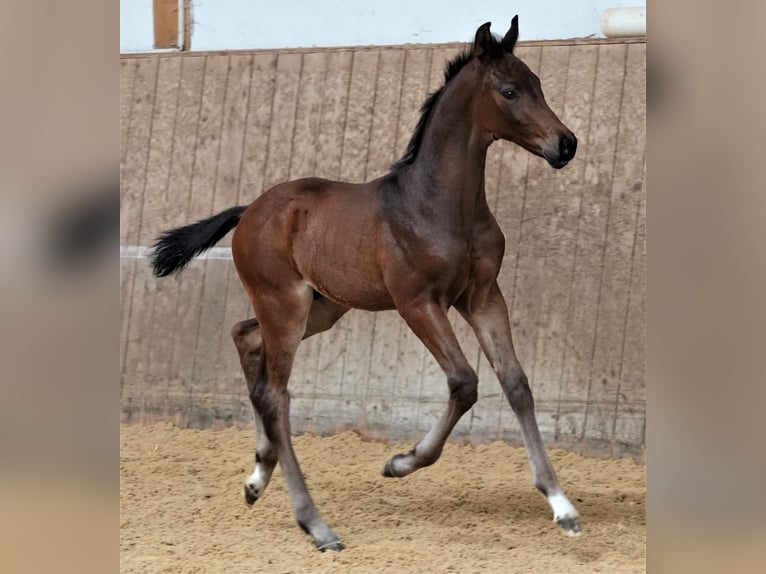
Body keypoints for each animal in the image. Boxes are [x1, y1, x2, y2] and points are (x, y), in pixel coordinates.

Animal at [150, 15, 584, 552]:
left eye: (537, 84)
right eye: (508, 90)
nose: (565, 144)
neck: (441, 204)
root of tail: (249, 210)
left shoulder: (483, 296)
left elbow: (516, 383)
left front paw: (561, 504)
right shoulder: (418, 302)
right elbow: (464, 382)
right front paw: (400, 463)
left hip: (322, 307)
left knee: (246, 339)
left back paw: (258, 477)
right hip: (286, 305)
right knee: (276, 394)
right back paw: (315, 524)